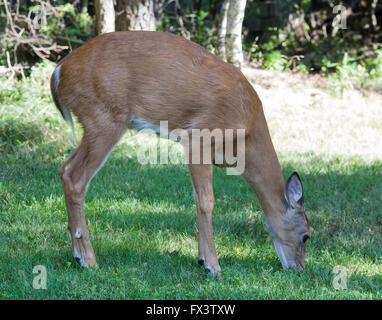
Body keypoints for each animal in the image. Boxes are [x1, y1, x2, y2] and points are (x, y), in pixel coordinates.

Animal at [50, 31, 308, 274]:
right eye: (306, 235)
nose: (299, 269)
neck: (244, 140)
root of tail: (58, 73)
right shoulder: (198, 137)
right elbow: (207, 200)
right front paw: (213, 266)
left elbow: (196, 197)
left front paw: (201, 258)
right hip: (103, 117)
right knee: (74, 175)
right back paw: (87, 260)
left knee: (64, 170)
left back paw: (78, 253)